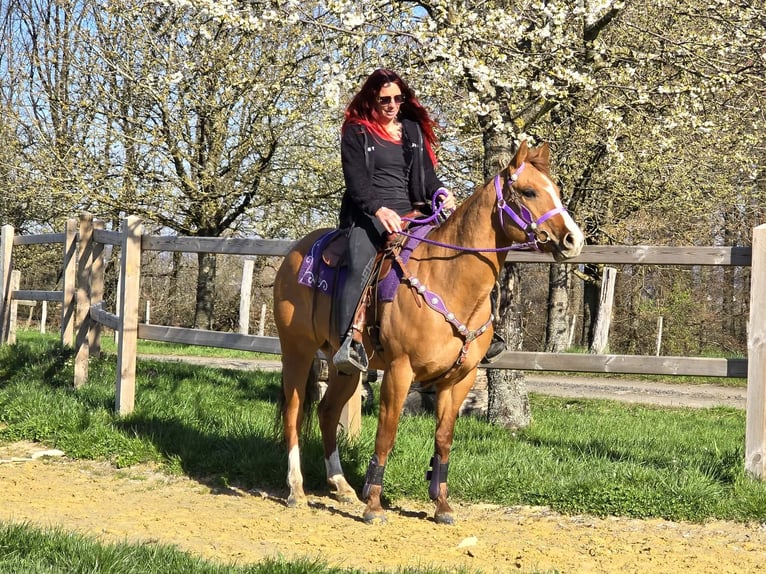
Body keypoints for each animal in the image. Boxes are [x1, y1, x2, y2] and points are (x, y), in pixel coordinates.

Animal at [273, 140, 584, 524]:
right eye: (529, 191)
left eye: (555, 190)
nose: (573, 239)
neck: (448, 279)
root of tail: (295, 253)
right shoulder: (399, 371)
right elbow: (386, 435)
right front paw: (374, 505)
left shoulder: (460, 379)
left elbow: (444, 438)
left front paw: (442, 505)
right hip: (297, 352)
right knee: (293, 414)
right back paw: (296, 489)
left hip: (344, 365)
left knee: (328, 413)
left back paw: (341, 486)